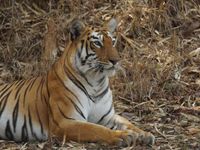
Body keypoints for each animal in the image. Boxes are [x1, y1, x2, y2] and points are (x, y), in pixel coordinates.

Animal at [0, 18, 155, 146]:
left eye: (113, 42)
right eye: (97, 43)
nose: (116, 60)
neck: (96, 82)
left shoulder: (107, 117)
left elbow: (127, 122)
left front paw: (144, 134)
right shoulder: (65, 122)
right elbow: (96, 129)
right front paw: (122, 136)